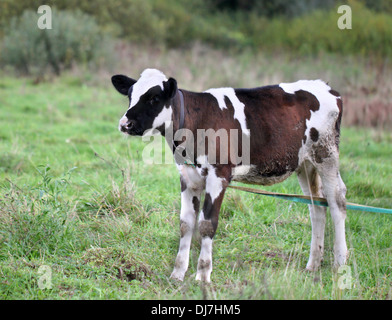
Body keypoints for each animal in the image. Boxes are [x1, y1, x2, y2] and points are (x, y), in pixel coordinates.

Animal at [112, 68, 348, 282]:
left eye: (154, 98)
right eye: (130, 95)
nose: (125, 124)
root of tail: (328, 88)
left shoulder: (219, 176)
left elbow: (207, 224)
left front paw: (202, 275)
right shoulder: (188, 177)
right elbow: (185, 224)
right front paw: (177, 274)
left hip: (326, 155)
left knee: (337, 201)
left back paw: (340, 264)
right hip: (305, 164)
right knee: (317, 206)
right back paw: (313, 264)